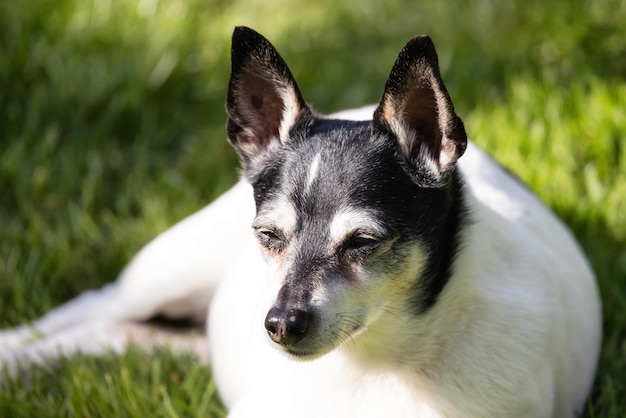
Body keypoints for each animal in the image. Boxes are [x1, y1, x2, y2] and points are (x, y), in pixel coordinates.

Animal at [2, 27, 604, 416]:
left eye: (363, 242)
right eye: (268, 237)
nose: (280, 324)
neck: (378, 362)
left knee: (115, 333)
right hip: (166, 269)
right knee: (98, 302)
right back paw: (14, 353)